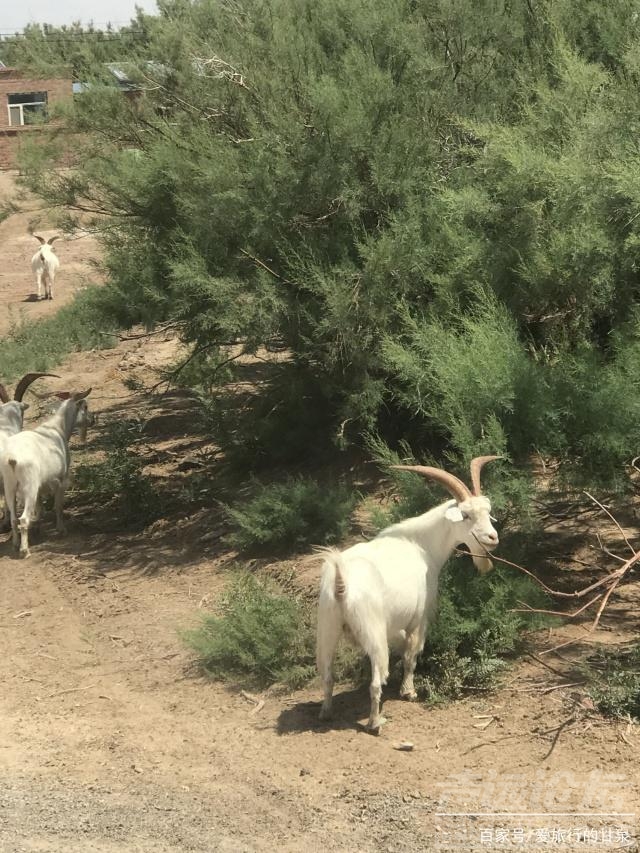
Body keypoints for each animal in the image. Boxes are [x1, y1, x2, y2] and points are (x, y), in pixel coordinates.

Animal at [0, 388, 91, 560]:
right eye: (86, 406)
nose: (93, 420)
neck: (57, 429)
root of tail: (12, 459)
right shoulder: (61, 480)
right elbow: (58, 506)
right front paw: (62, 530)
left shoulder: (40, 487)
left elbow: (40, 508)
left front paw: (38, 529)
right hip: (29, 487)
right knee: (23, 519)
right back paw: (24, 551)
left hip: (10, 486)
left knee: (15, 518)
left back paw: (15, 544)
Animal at [316, 460, 500, 732]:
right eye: (465, 516)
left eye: (487, 511)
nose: (492, 538)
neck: (421, 546)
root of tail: (342, 581)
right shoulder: (420, 618)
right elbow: (411, 655)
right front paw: (409, 692)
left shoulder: (396, 625)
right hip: (373, 631)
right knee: (375, 681)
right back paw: (375, 722)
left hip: (327, 628)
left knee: (327, 675)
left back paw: (326, 713)